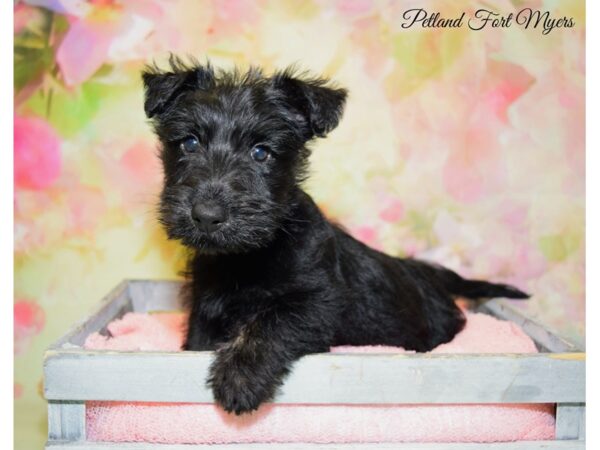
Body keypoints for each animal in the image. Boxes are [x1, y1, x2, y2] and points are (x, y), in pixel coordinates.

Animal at [143, 58, 528, 416]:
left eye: (261, 152)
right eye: (190, 143)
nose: (207, 215)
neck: (247, 257)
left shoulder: (316, 299)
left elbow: (271, 322)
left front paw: (239, 377)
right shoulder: (204, 310)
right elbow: (199, 341)